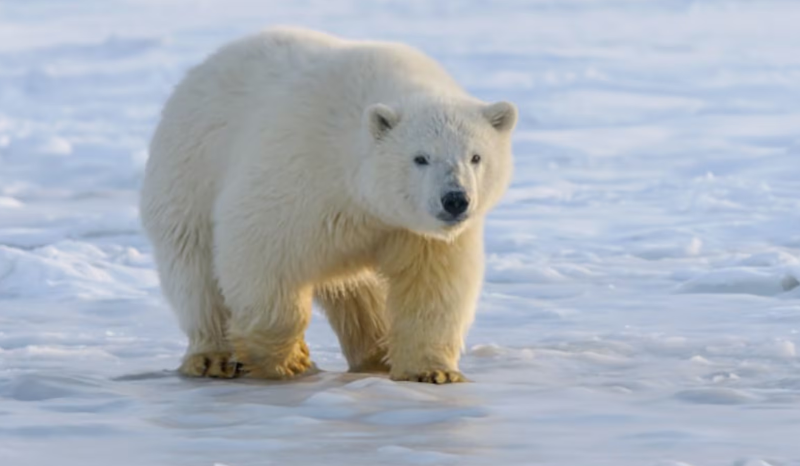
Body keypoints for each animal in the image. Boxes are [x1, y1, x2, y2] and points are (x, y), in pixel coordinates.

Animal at [140, 27, 517, 384]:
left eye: (476, 157)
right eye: (420, 158)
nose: (455, 199)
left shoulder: (413, 231)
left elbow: (432, 285)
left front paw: (433, 372)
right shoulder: (300, 170)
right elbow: (260, 249)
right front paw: (290, 359)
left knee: (359, 292)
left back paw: (375, 354)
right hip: (189, 172)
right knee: (195, 271)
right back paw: (212, 357)